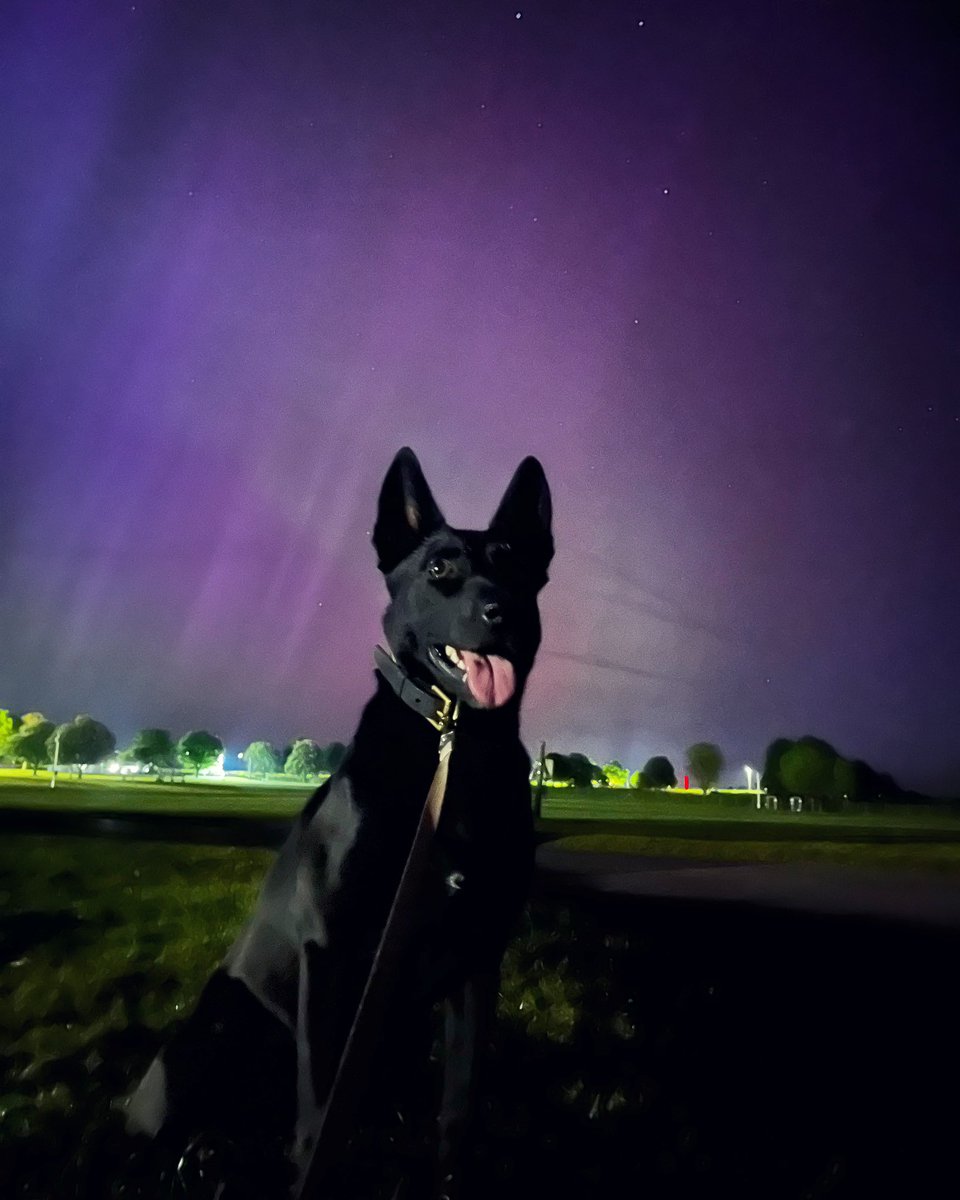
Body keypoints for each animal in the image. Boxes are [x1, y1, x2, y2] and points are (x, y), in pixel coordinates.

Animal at [123, 446, 552, 1195]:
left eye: (517, 567)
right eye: (439, 569)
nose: (500, 611)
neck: (453, 748)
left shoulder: (477, 960)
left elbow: (460, 1108)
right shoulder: (331, 956)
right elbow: (320, 1114)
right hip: (219, 1025)